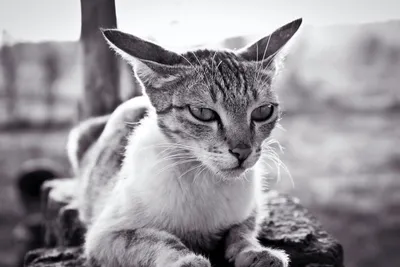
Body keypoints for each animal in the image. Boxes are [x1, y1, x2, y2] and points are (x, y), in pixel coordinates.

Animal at [67, 18, 302, 267]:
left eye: (263, 111)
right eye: (203, 113)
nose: (243, 151)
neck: (204, 178)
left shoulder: (251, 210)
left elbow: (241, 232)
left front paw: (255, 252)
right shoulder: (105, 235)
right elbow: (157, 239)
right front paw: (188, 260)